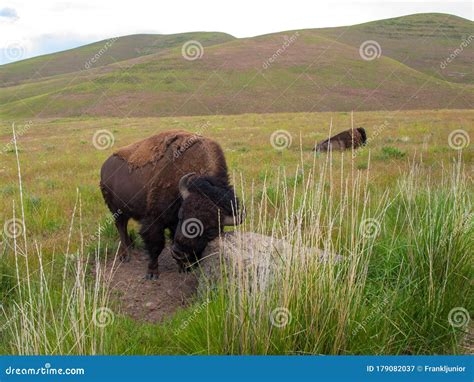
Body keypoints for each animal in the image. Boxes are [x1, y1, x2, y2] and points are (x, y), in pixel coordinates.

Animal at [98, 130, 243, 280]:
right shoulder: (154, 220)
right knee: (121, 227)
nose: (180, 253)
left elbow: (172, 237)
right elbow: (156, 245)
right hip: (115, 209)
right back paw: (125, 255)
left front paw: (183, 268)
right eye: (181, 216)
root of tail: (105, 166)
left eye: (211, 232)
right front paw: (152, 273)